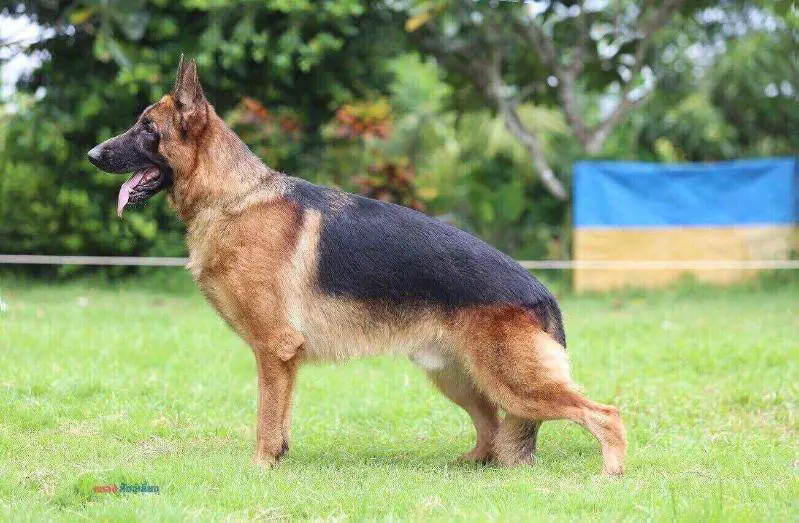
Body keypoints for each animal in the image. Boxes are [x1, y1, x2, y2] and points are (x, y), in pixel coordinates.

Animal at [88, 56, 627, 475]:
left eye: (147, 129)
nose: (91, 154)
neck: (233, 197)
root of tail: (543, 292)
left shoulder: (273, 349)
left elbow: (265, 418)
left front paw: (258, 468)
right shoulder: (281, 358)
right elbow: (279, 420)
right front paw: (277, 460)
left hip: (514, 383)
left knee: (605, 414)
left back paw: (610, 475)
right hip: (457, 377)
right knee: (492, 428)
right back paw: (469, 464)